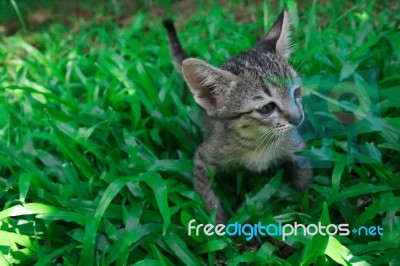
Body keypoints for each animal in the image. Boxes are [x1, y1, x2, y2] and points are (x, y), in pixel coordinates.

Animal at [163, 10, 312, 222]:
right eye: (267, 108)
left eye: (296, 92)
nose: (298, 118)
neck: (257, 141)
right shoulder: (203, 157)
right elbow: (206, 192)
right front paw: (218, 222)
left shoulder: (296, 146)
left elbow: (304, 174)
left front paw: (304, 205)